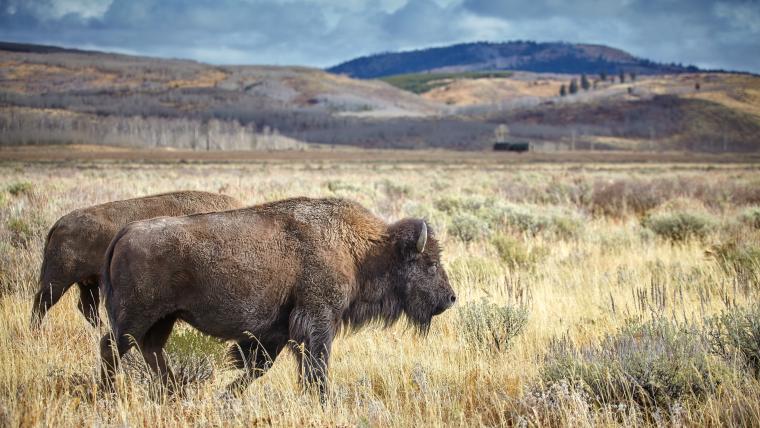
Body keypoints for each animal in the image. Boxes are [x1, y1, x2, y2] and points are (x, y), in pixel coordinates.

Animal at [31, 191, 240, 328]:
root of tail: (60, 223)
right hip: (59, 280)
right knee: (42, 302)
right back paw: (35, 332)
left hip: (88, 283)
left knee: (87, 308)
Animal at [101, 197, 458, 398]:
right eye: (428, 263)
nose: (451, 298)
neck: (361, 251)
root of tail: (127, 231)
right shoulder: (318, 320)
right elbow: (316, 366)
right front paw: (322, 401)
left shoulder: (277, 332)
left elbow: (260, 367)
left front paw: (225, 397)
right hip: (136, 317)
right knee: (112, 347)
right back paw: (107, 396)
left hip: (163, 319)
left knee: (150, 350)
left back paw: (173, 394)